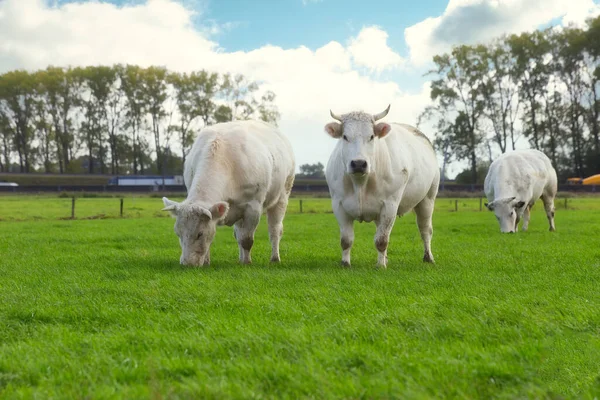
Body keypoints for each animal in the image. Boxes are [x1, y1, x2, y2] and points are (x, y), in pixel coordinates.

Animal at [162, 120, 296, 268]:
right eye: (178, 233)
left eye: (199, 234)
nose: (187, 263)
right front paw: (207, 262)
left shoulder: (253, 207)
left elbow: (247, 240)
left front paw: (247, 262)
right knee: (239, 233)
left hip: (282, 196)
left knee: (275, 230)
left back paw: (274, 258)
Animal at [324, 105, 440, 268]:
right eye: (345, 137)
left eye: (372, 136)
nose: (358, 163)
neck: (361, 183)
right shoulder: (338, 205)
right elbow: (346, 240)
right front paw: (345, 263)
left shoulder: (390, 205)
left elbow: (382, 240)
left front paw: (380, 266)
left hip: (428, 199)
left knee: (425, 229)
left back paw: (428, 257)